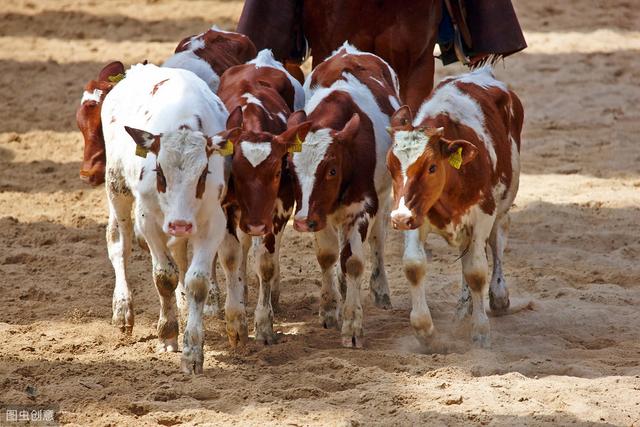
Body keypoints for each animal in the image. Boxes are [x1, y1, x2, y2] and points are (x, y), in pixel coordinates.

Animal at [215, 50, 308, 346]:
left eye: (278, 171)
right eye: (235, 171)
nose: (256, 224)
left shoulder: (278, 211)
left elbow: (265, 263)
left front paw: (264, 325)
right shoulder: (226, 209)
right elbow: (231, 256)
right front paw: (236, 323)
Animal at [288, 44, 398, 348]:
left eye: (332, 170)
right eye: (290, 168)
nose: (301, 222)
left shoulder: (362, 207)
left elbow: (354, 261)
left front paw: (352, 326)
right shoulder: (319, 212)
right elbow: (327, 256)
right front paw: (328, 308)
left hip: (383, 198)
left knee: (378, 240)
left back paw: (381, 289)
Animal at [388, 67, 524, 348]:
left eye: (432, 167)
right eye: (391, 165)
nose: (398, 218)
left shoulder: (483, 215)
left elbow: (476, 271)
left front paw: (481, 332)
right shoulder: (415, 214)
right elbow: (414, 265)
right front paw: (425, 332)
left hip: (502, 206)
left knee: (497, 241)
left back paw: (498, 295)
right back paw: (464, 307)